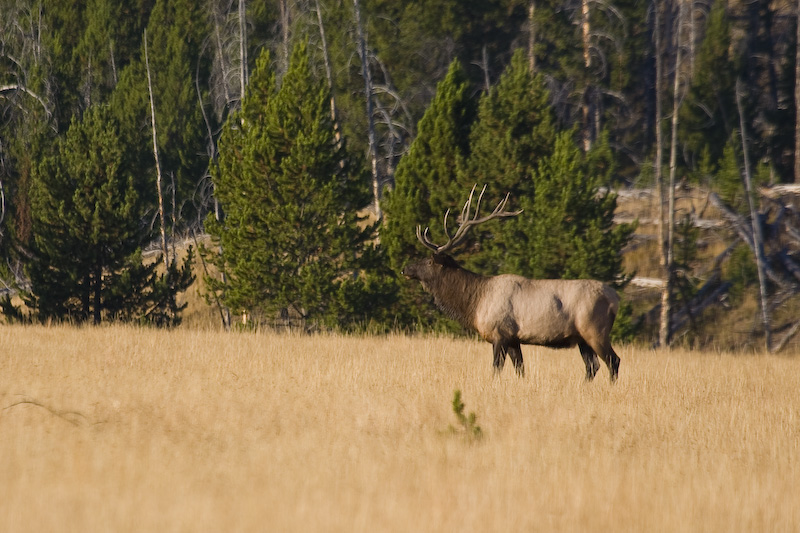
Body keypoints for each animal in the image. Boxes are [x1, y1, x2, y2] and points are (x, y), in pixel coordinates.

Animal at [404, 185, 620, 380]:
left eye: (429, 261)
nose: (405, 269)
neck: (475, 303)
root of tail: (615, 298)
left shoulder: (500, 334)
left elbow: (496, 368)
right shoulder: (514, 339)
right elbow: (520, 369)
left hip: (595, 330)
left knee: (613, 361)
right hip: (582, 338)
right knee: (592, 366)